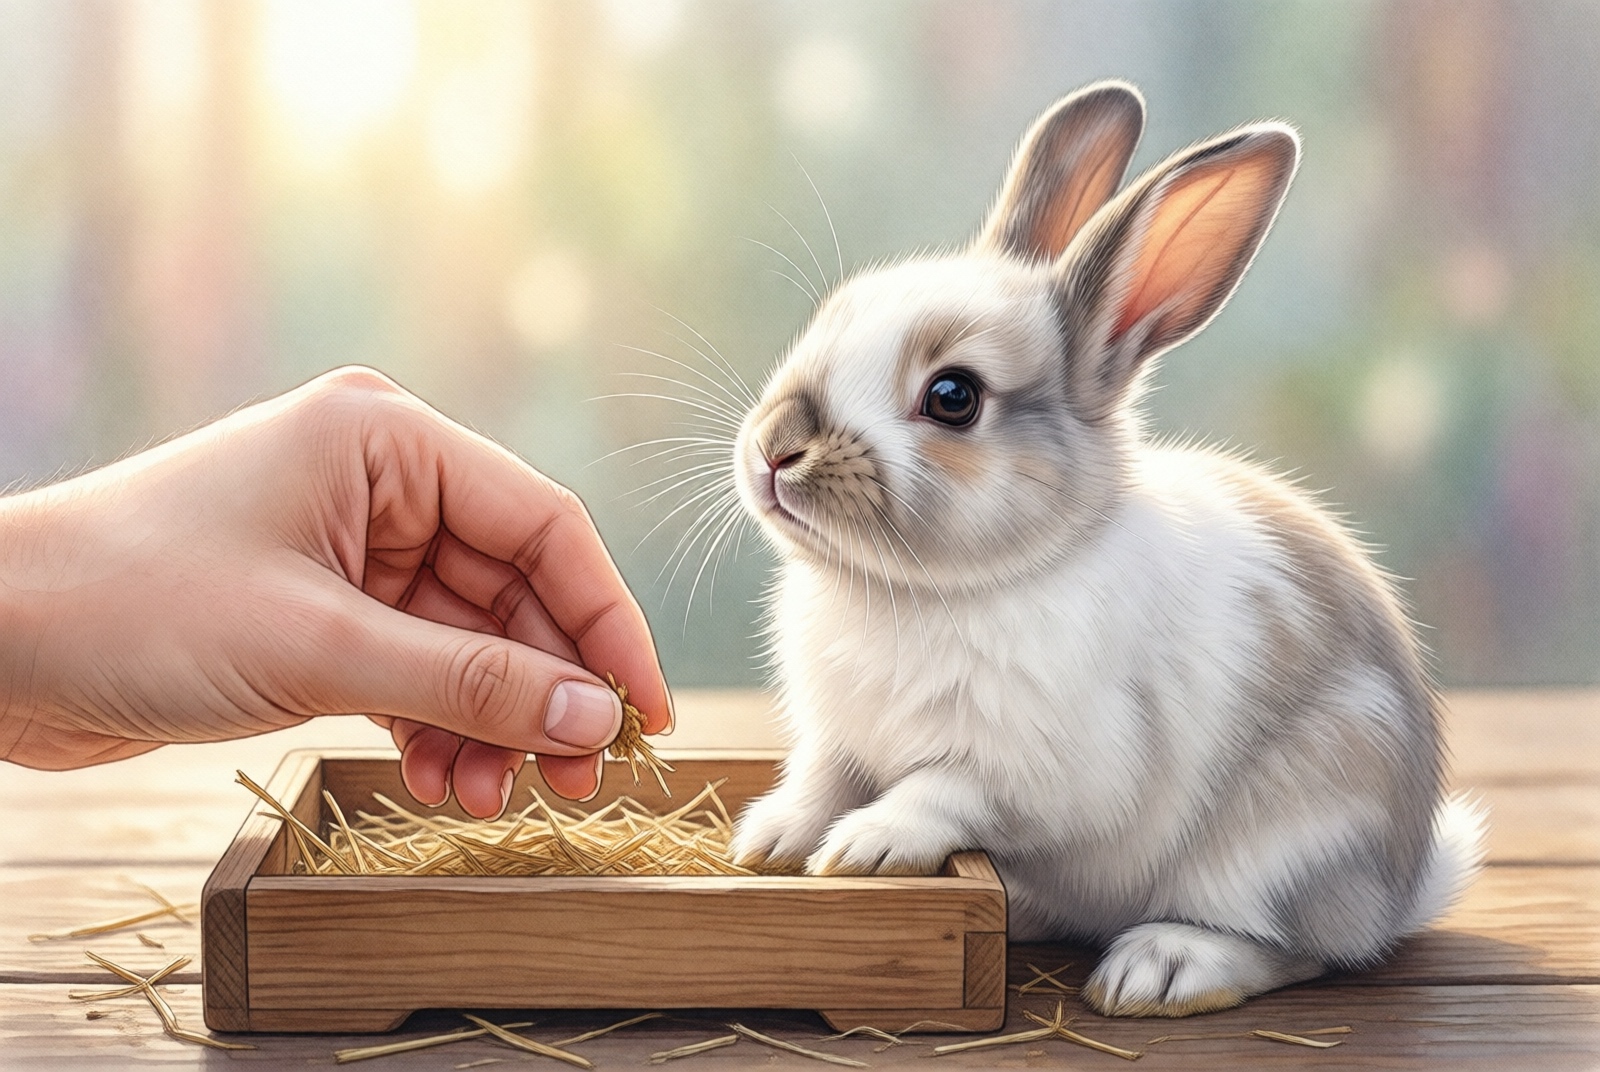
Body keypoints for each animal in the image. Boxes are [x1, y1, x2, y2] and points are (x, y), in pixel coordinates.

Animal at [724, 79, 1486, 1018]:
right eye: (832, 316)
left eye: (953, 397)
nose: (774, 450)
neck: (935, 589)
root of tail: (1400, 886)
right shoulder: (838, 741)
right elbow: (818, 782)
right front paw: (768, 840)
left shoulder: (1046, 766)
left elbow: (943, 789)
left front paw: (867, 845)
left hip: (1292, 835)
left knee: (1297, 950)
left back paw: (1159, 969)